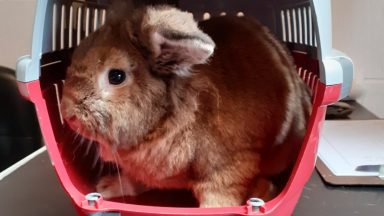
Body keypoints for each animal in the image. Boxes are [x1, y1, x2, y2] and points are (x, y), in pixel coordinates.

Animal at [60, 2, 312, 208]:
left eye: (116, 76)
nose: (67, 113)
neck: (163, 120)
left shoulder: (227, 170)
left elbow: (219, 199)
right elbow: (134, 181)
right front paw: (106, 186)